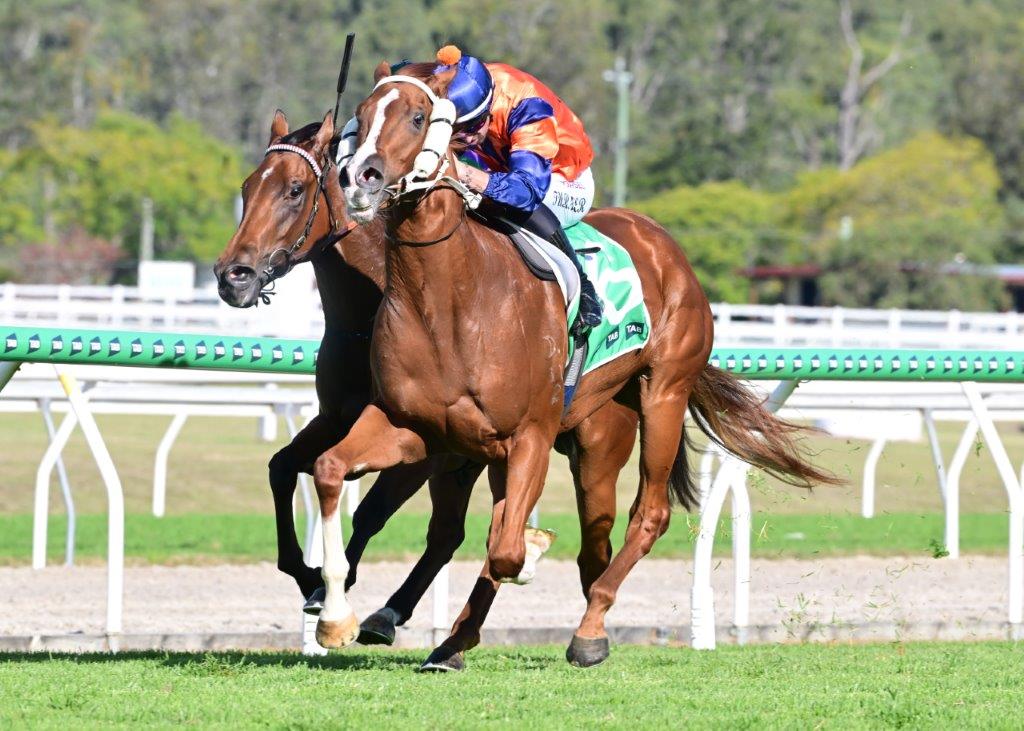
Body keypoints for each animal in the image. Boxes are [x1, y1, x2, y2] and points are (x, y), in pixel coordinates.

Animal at [213, 110, 641, 654]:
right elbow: (283, 467)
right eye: (248, 188)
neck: (372, 301)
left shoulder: (430, 445)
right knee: (458, 529)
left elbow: (371, 509)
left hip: (593, 445)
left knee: (588, 531)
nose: (233, 276)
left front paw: (334, 589)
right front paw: (312, 578)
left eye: (294, 189)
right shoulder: (340, 418)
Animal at [309, 60, 838, 670]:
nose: (360, 177)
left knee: (644, 515)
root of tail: (664, 243)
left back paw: (586, 632)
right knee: (592, 539)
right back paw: (469, 639)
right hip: (593, 436)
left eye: (418, 117)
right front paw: (333, 616)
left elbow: (507, 548)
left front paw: (531, 551)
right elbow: (329, 469)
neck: (448, 300)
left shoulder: (529, 435)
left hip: (661, 393)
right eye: (362, 113)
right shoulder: (415, 426)